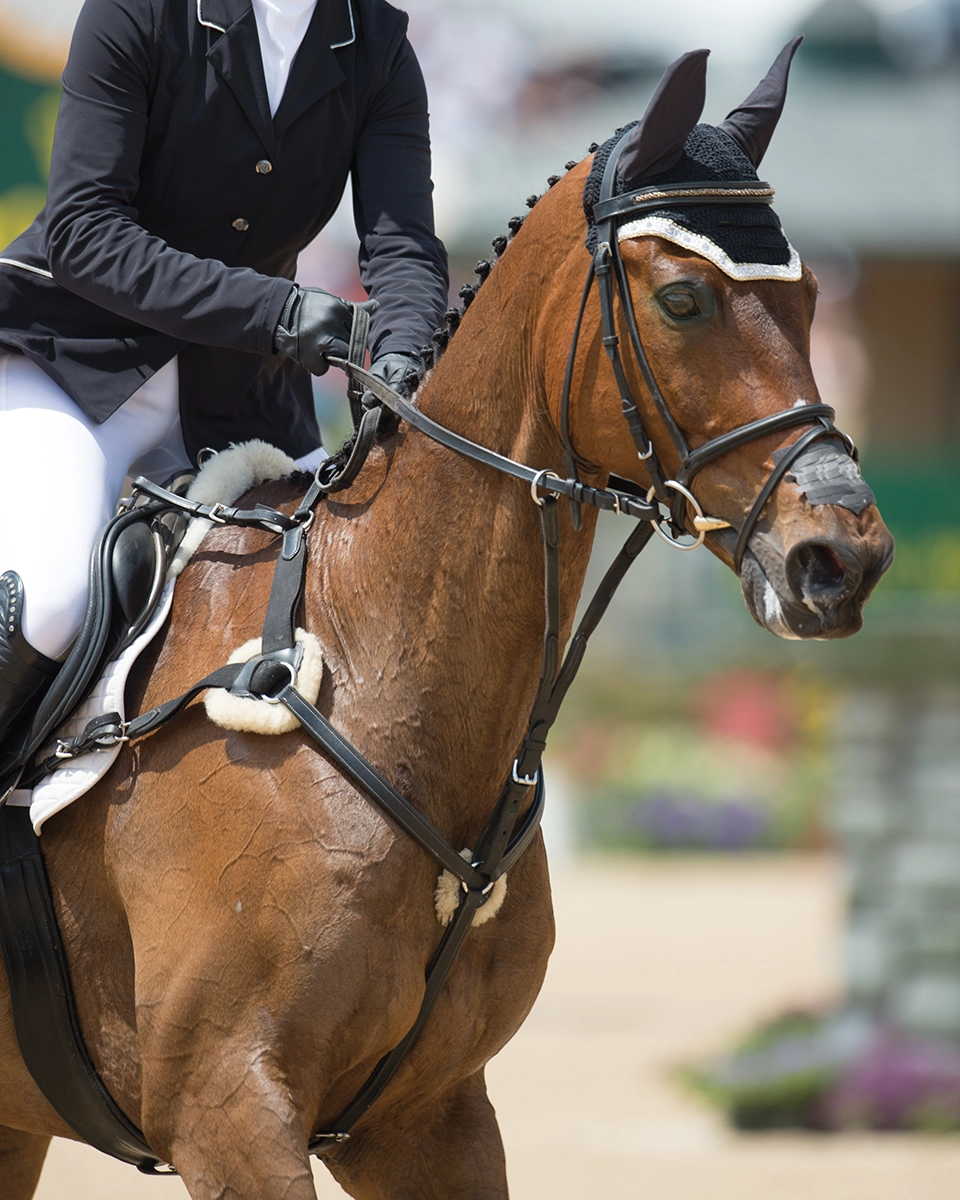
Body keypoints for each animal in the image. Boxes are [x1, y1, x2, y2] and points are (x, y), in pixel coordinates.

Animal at [0, 46, 893, 1200]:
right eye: (684, 298)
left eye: (814, 296)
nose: (844, 560)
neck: (375, 667)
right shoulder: (226, 1109)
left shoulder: (429, 1119)